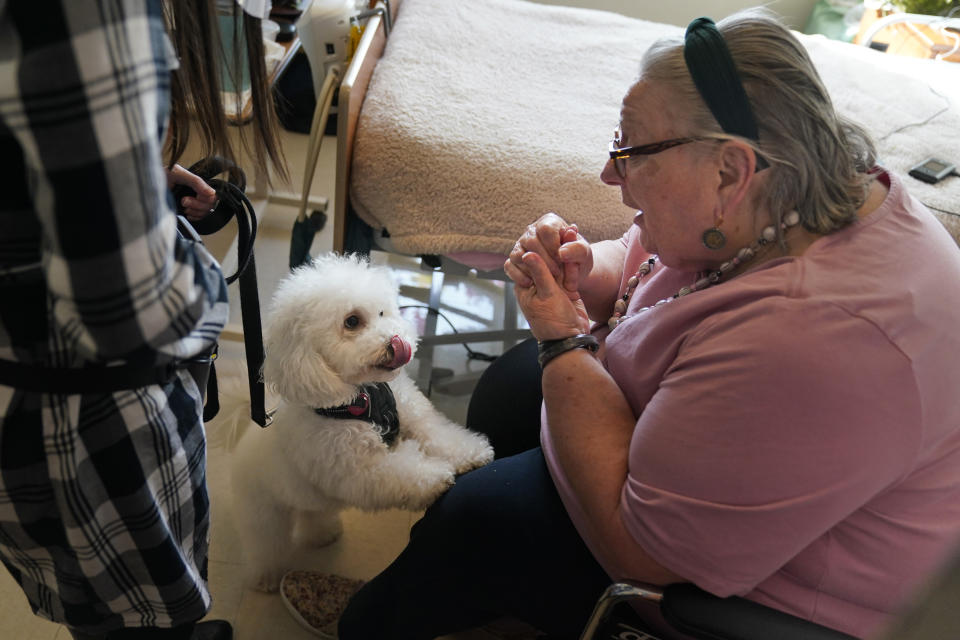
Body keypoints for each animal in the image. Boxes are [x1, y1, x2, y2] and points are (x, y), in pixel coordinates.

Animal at [220, 252, 492, 592]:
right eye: (352, 322)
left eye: (382, 312)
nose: (396, 340)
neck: (364, 396)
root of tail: (245, 435)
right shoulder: (361, 469)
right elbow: (402, 471)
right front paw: (435, 477)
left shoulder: (413, 414)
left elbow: (438, 435)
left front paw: (471, 454)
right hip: (262, 510)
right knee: (265, 544)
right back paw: (266, 577)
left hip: (309, 501)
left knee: (313, 516)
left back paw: (323, 535)